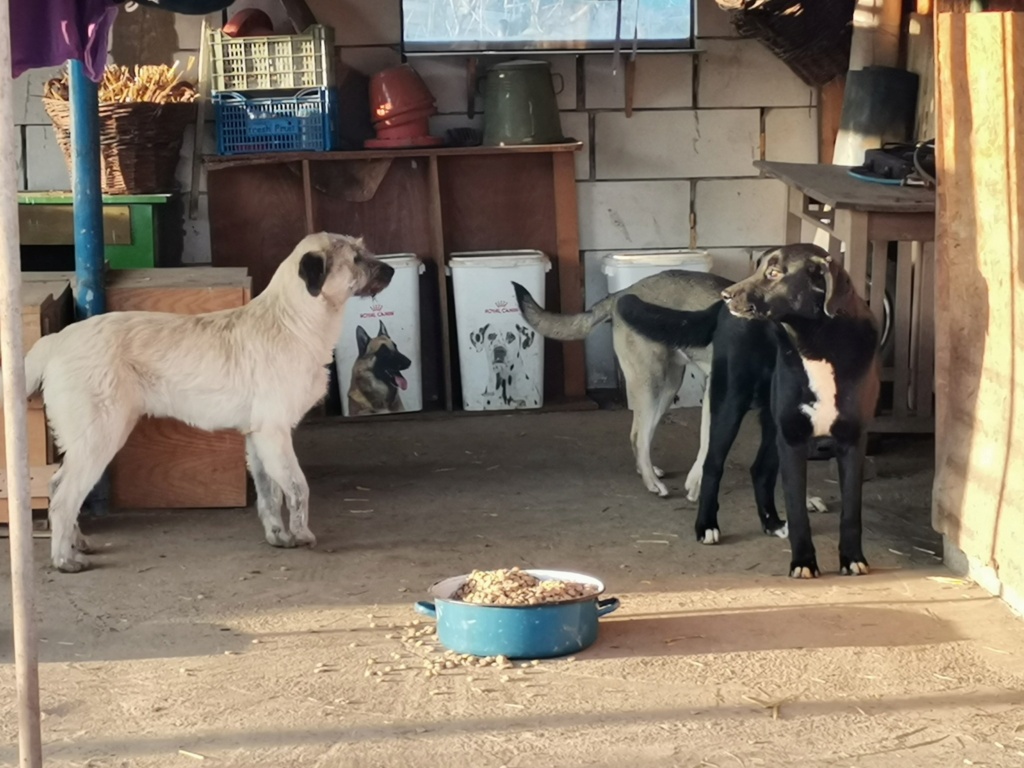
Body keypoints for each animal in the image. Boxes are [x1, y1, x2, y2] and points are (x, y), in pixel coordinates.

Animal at [4, 231, 391, 573]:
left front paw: (279, 536)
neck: (292, 321)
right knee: (64, 498)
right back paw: (65, 560)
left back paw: (76, 542)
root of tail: (56, 340)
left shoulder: (258, 439)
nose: (390, 270)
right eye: (356, 259)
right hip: (100, 438)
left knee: (57, 486)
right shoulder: (275, 434)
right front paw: (302, 533)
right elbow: (297, 488)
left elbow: (270, 494)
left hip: (88, 442)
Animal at [614, 244, 880, 577]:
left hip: (768, 422)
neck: (817, 345)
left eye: (774, 273)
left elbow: (851, 510)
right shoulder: (791, 438)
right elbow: (797, 509)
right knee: (712, 464)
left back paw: (772, 523)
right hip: (727, 403)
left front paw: (853, 559)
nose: (727, 295)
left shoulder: (852, 442)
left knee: (761, 470)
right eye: (759, 267)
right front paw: (803, 562)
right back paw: (707, 525)